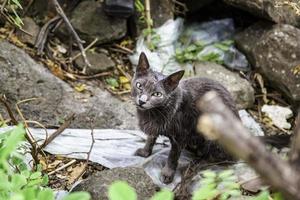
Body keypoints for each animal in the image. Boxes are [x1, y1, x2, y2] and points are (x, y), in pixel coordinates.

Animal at [131, 52, 239, 184]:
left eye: (157, 94)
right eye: (139, 85)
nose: (142, 101)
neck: (153, 113)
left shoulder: (181, 136)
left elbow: (172, 156)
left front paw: (167, 174)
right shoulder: (154, 127)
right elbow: (151, 138)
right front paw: (145, 152)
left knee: (218, 159)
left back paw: (196, 163)